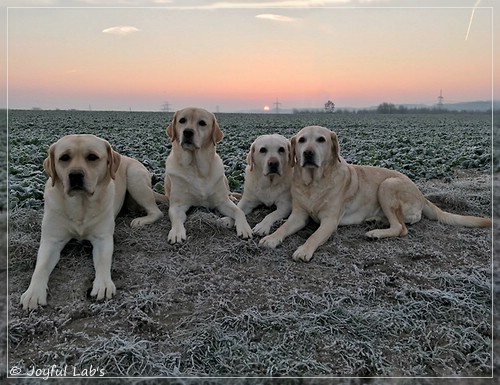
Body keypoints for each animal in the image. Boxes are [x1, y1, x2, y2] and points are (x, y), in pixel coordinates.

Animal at [20, 134, 164, 308]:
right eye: (64, 158)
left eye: (92, 157)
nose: (75, 175)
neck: (80, 205)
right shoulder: (51, 240)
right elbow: (40, 267)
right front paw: (33, 293)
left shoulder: (103, 238)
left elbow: (103, 261)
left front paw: (103, 284)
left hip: (135, 178)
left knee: (157, 211)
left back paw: (140, 221)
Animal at [164, 106, 252, 242]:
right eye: (182, 120)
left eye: (202, 123)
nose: (187, 132)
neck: (196, 167)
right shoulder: (177, 205)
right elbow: (176, 219)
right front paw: (177, 232)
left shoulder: (222, 202)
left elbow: (239, 211)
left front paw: (244, 228)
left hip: (225, 179)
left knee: (229, 193)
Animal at [262, 125, 492, 260]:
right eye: (301, 140)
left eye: (321, 139)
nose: (308, 154)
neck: (314, 183)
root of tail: (420, 193)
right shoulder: (298, 215)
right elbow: (283, 227)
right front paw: (271, 238)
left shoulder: (329, 220)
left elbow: (314, 236)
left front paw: (304, 250)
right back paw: (376, 221)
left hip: (387, 185)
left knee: (401, 228)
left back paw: (376, 232)